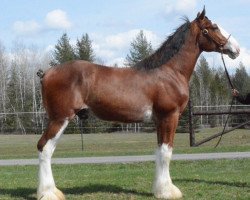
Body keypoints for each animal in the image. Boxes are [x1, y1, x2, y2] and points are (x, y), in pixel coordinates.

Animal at [36, 7, 239, 200]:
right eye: (213, 27)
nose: (236, 49)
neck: (169, 72)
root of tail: (46, 73)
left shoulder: (160, 120)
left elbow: (159, 151)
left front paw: (159, 189)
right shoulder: (169, 116)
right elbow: (166, 152)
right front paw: (168, 191)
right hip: (60, 118)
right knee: (45, 148)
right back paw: (49, 193)